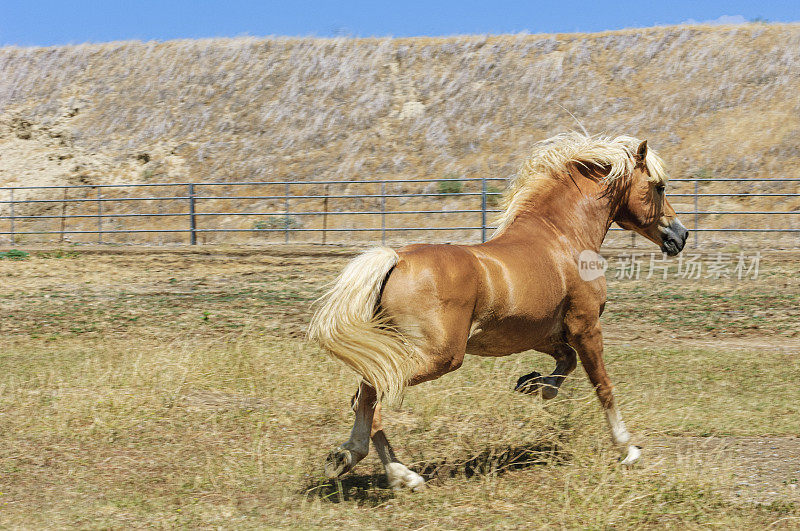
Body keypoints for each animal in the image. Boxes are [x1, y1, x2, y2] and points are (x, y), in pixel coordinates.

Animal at [306, 133, 688, 490]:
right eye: (659, 186)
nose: (680, 236)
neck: (563, 237)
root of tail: (396, 258)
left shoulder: (541, 334)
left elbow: (565, 365)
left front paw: (530, 385)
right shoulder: (586, 326)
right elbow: (603, 386)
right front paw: (628, 449)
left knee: (363, 395)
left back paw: (357, 461)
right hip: (439, 356)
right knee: (373, 394)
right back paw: (394, 472)